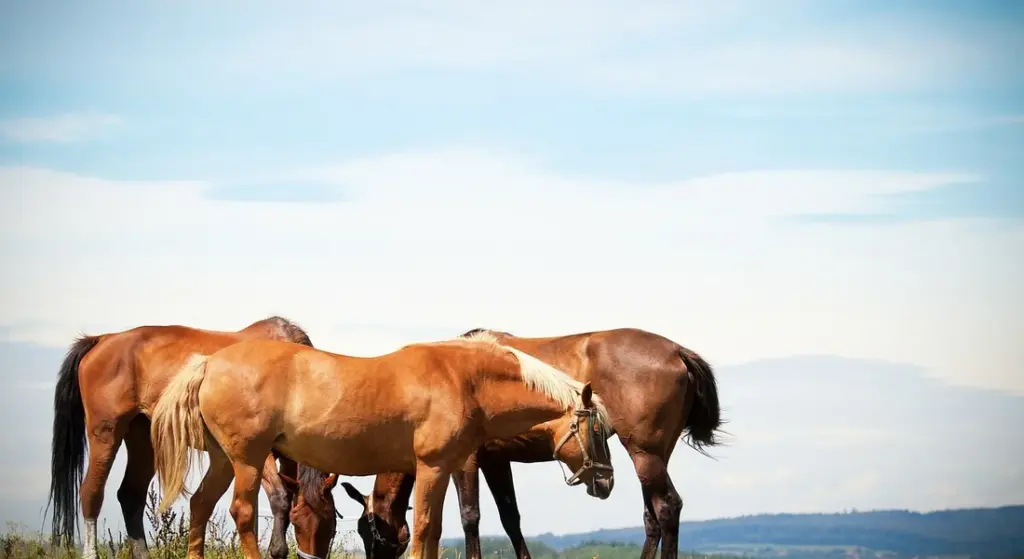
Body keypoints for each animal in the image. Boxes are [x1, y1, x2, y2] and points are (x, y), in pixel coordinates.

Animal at [45, 316, 336, 559]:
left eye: (331, 526)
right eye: (298, 522)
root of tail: (102, 338)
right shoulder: (254, 453)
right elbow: (279, 498)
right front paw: (277, 550)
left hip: (143, 439)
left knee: (130, 495)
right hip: (105, 433)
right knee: (91, 493)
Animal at [149, 331, 615, 559]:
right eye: (598, 431)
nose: (607, 482)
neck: (464, 380)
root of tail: (209, 364)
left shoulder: (442, 469)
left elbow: (434, 530)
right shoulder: (431, 467)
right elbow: (425, 528)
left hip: (223, 460)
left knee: (200, 506)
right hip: (247, 459)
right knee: (241, 514)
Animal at [343, 327, 723, 559]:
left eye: (368, 531)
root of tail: (678, 352)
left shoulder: (465, 462)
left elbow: (470, 517)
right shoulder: (496, 461)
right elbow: (510, 518)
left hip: (645, 454)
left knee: (667, 507)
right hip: (654, 456)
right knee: (652, 516)